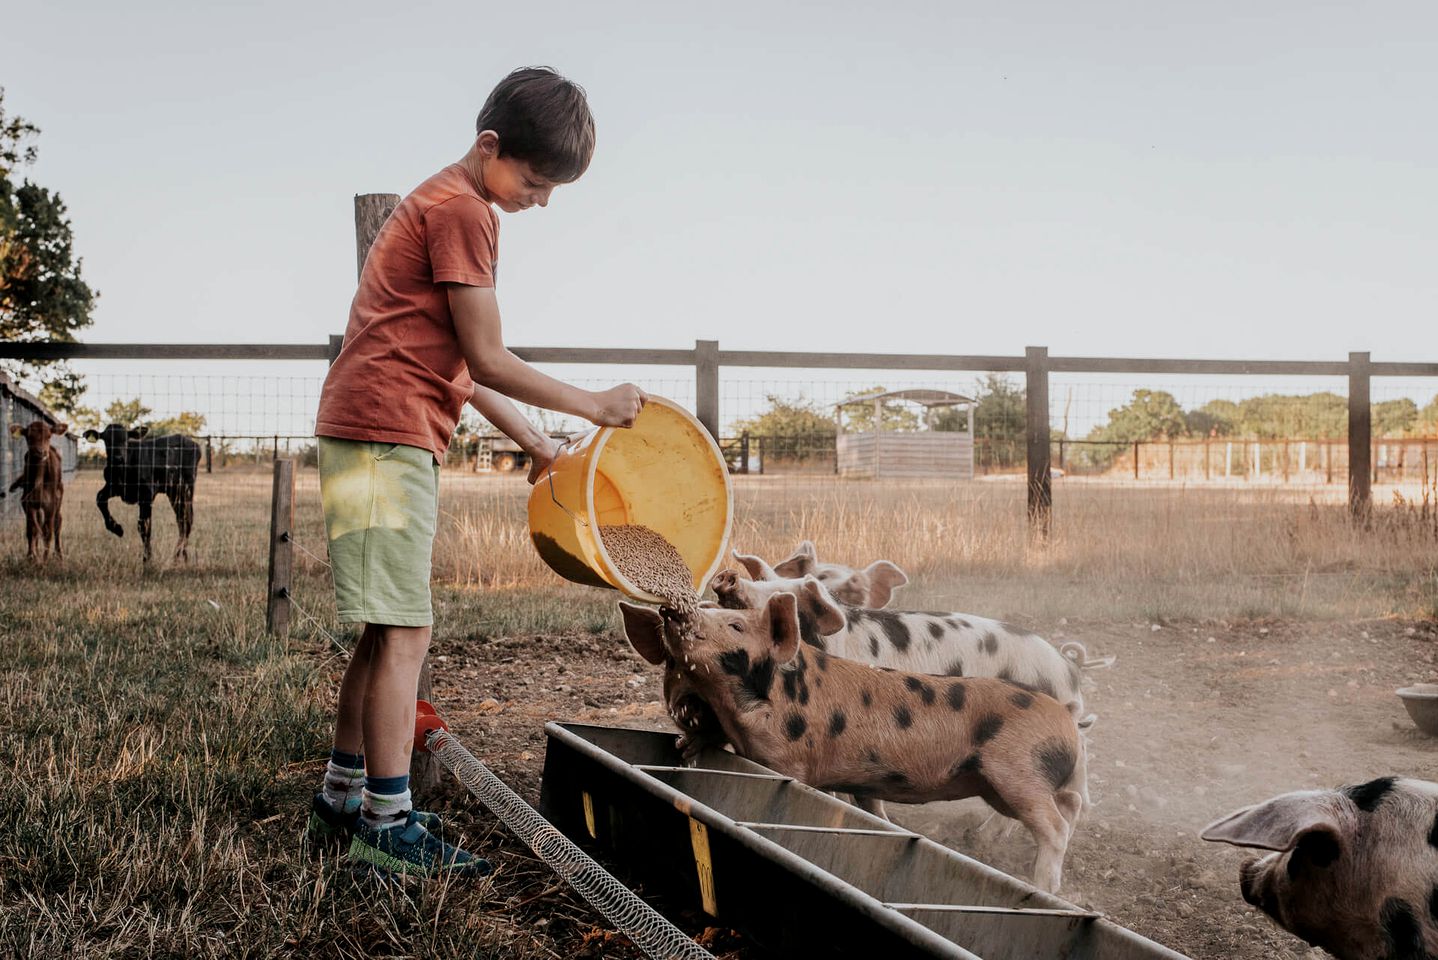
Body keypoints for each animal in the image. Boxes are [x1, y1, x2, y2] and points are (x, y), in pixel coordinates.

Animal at [6, 419, 66, 563]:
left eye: (49, 436)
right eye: (29, 437)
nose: (41, 452)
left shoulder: (51, 503)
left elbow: (48, 531)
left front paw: (44, 560)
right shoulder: (27, 502)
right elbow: (31, 530)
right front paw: (31, 556)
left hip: (59, 499)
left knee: (58, 522)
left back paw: (58, 554)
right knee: (38, 524)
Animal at [82, 422, 199, 563]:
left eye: (126, 440)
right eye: (107, 440)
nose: (118, 458)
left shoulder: (147, 494)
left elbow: (144, 526)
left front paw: (147, 559)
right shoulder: (113, 487)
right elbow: (99, 498)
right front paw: (116, 528)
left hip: (186, 489)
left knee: (188, 519)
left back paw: (179, 555)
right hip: (174, 492)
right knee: (181, 519)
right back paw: (180, 555)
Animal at [624, 592, 1081, 891]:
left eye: (735, 625)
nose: (669, 609)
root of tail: (1067, 719)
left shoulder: (790, 762)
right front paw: (686, 748)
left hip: (1017, 770)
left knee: (1055, 827)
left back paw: (1042, 888)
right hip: (1003, 784)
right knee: (1069, 807)